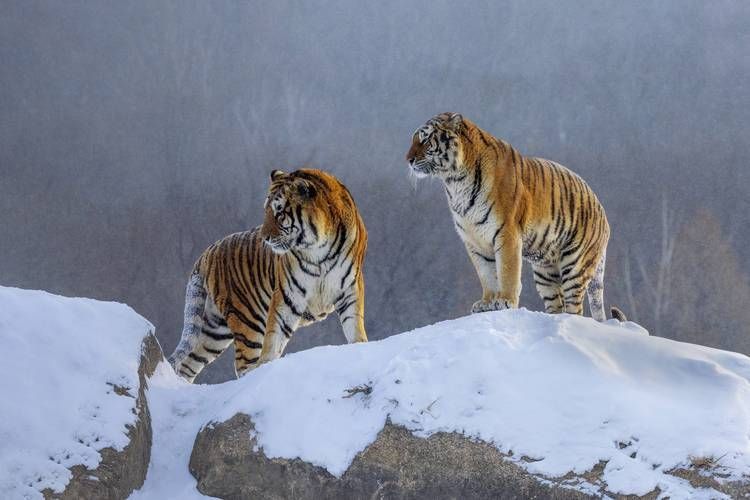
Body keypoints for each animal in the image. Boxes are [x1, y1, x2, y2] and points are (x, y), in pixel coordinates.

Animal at [168, 168, 368, 382]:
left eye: (279, 212)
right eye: (266, 211)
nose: (264, 238)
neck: (317, 250)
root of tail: (207, 252)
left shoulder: (350, 289)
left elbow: (354, 327)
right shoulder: (287, 295)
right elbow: (273, 338)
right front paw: (267, 366)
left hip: (215, 330)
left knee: (189, 362)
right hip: (247, 319)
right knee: (243, 363)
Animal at [406, 112, 625, 322]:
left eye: (425, 139)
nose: (408, 159)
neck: (455, 181)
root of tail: (601, 208)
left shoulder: (506, 232)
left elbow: (507, 271)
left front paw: (505, 301)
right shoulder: (474, 240)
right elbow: (486, 274)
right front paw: (486, 303)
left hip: (575, 264)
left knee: (575, 307)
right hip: (546, 271)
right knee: (557, 303)